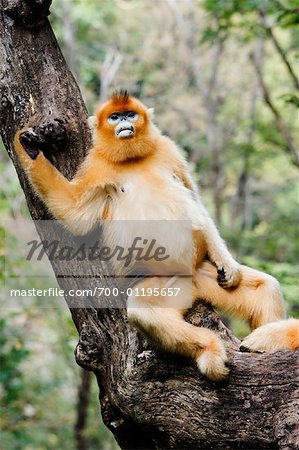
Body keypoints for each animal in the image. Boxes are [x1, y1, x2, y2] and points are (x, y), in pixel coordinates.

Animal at [14, 90, 299, 380]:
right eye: (115, 117)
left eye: (130, 114)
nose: (124, 123)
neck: (132, 159)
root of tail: (192, 279)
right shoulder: (96, 165)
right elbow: (75, 215)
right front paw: (29, 150)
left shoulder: (167, 148)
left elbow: (194, 199)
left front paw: (228, 265)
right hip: (169, 283)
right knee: (146, 313)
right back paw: (209, 349)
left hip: (203, 274)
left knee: (265, 287)